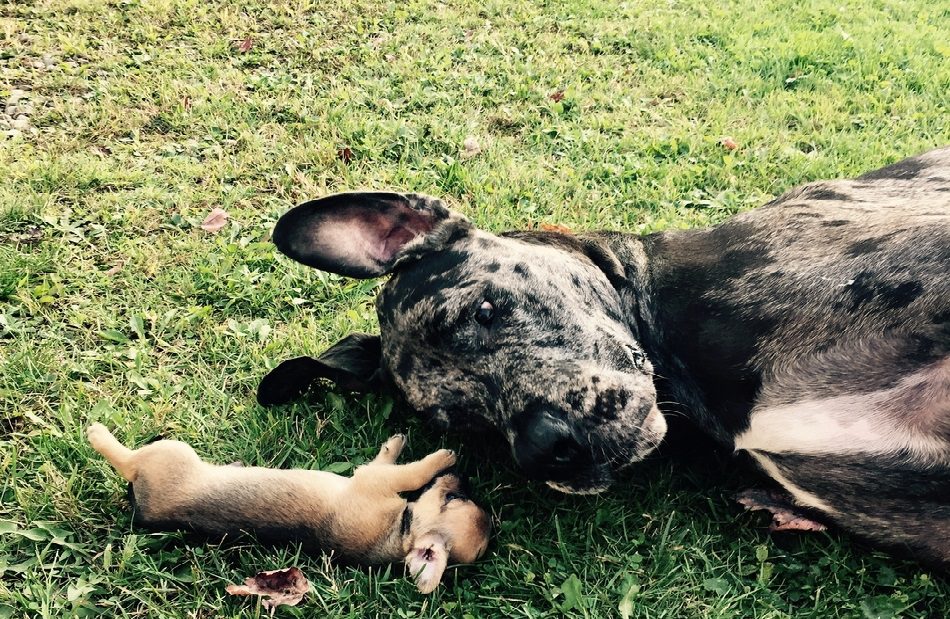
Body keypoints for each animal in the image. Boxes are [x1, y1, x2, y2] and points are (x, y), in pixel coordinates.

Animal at [87, 424, 490, 592]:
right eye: (457, 497)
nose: (460, 476)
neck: (399, 530)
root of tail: (143, 503)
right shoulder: (376, 475)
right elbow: (392, 461)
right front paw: (401, 445)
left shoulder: (375, 480)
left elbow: (410, 471)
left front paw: (440, 457)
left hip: (170, 452)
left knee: (123, 456)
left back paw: (96, 431)